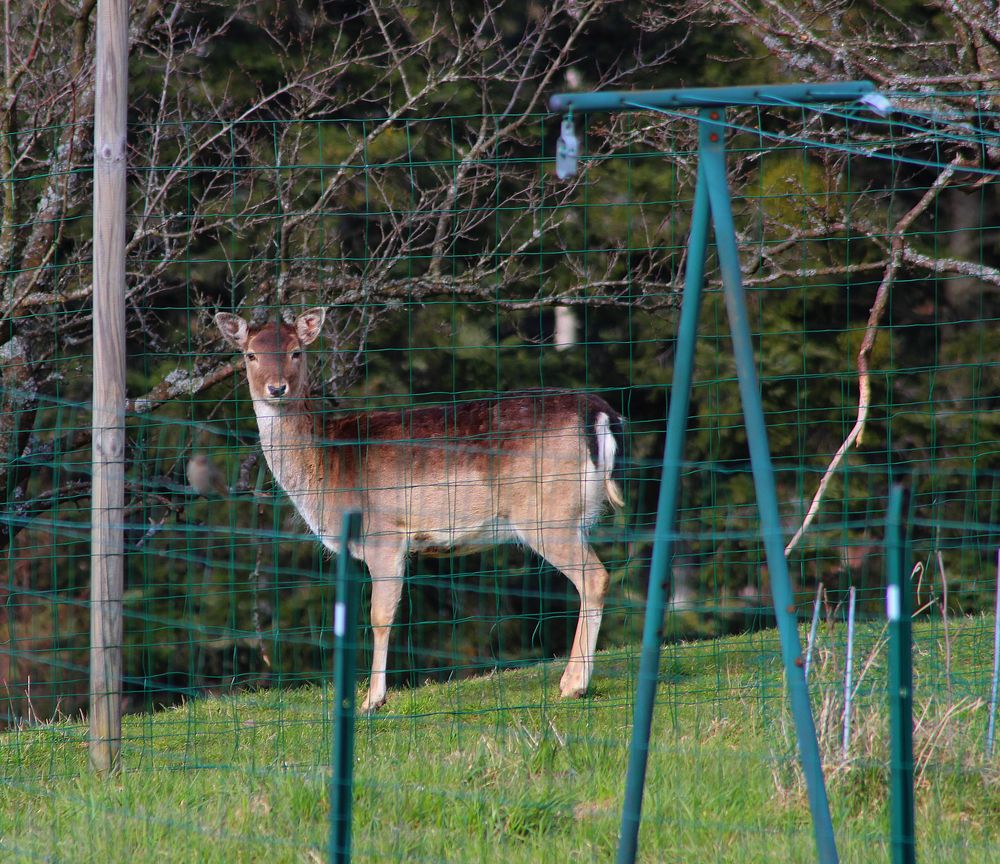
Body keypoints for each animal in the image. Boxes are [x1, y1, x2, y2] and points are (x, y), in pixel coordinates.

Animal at [217, 308, 624, 712]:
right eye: (250, 355)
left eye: (296, 352)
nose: (276, 388)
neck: (328, 467)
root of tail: (601, 413)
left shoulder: (384, 535)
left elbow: (380, 616)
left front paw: (372, 700)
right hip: (574, 514)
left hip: (546, 513)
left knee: (594, 577)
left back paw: (573, 684)